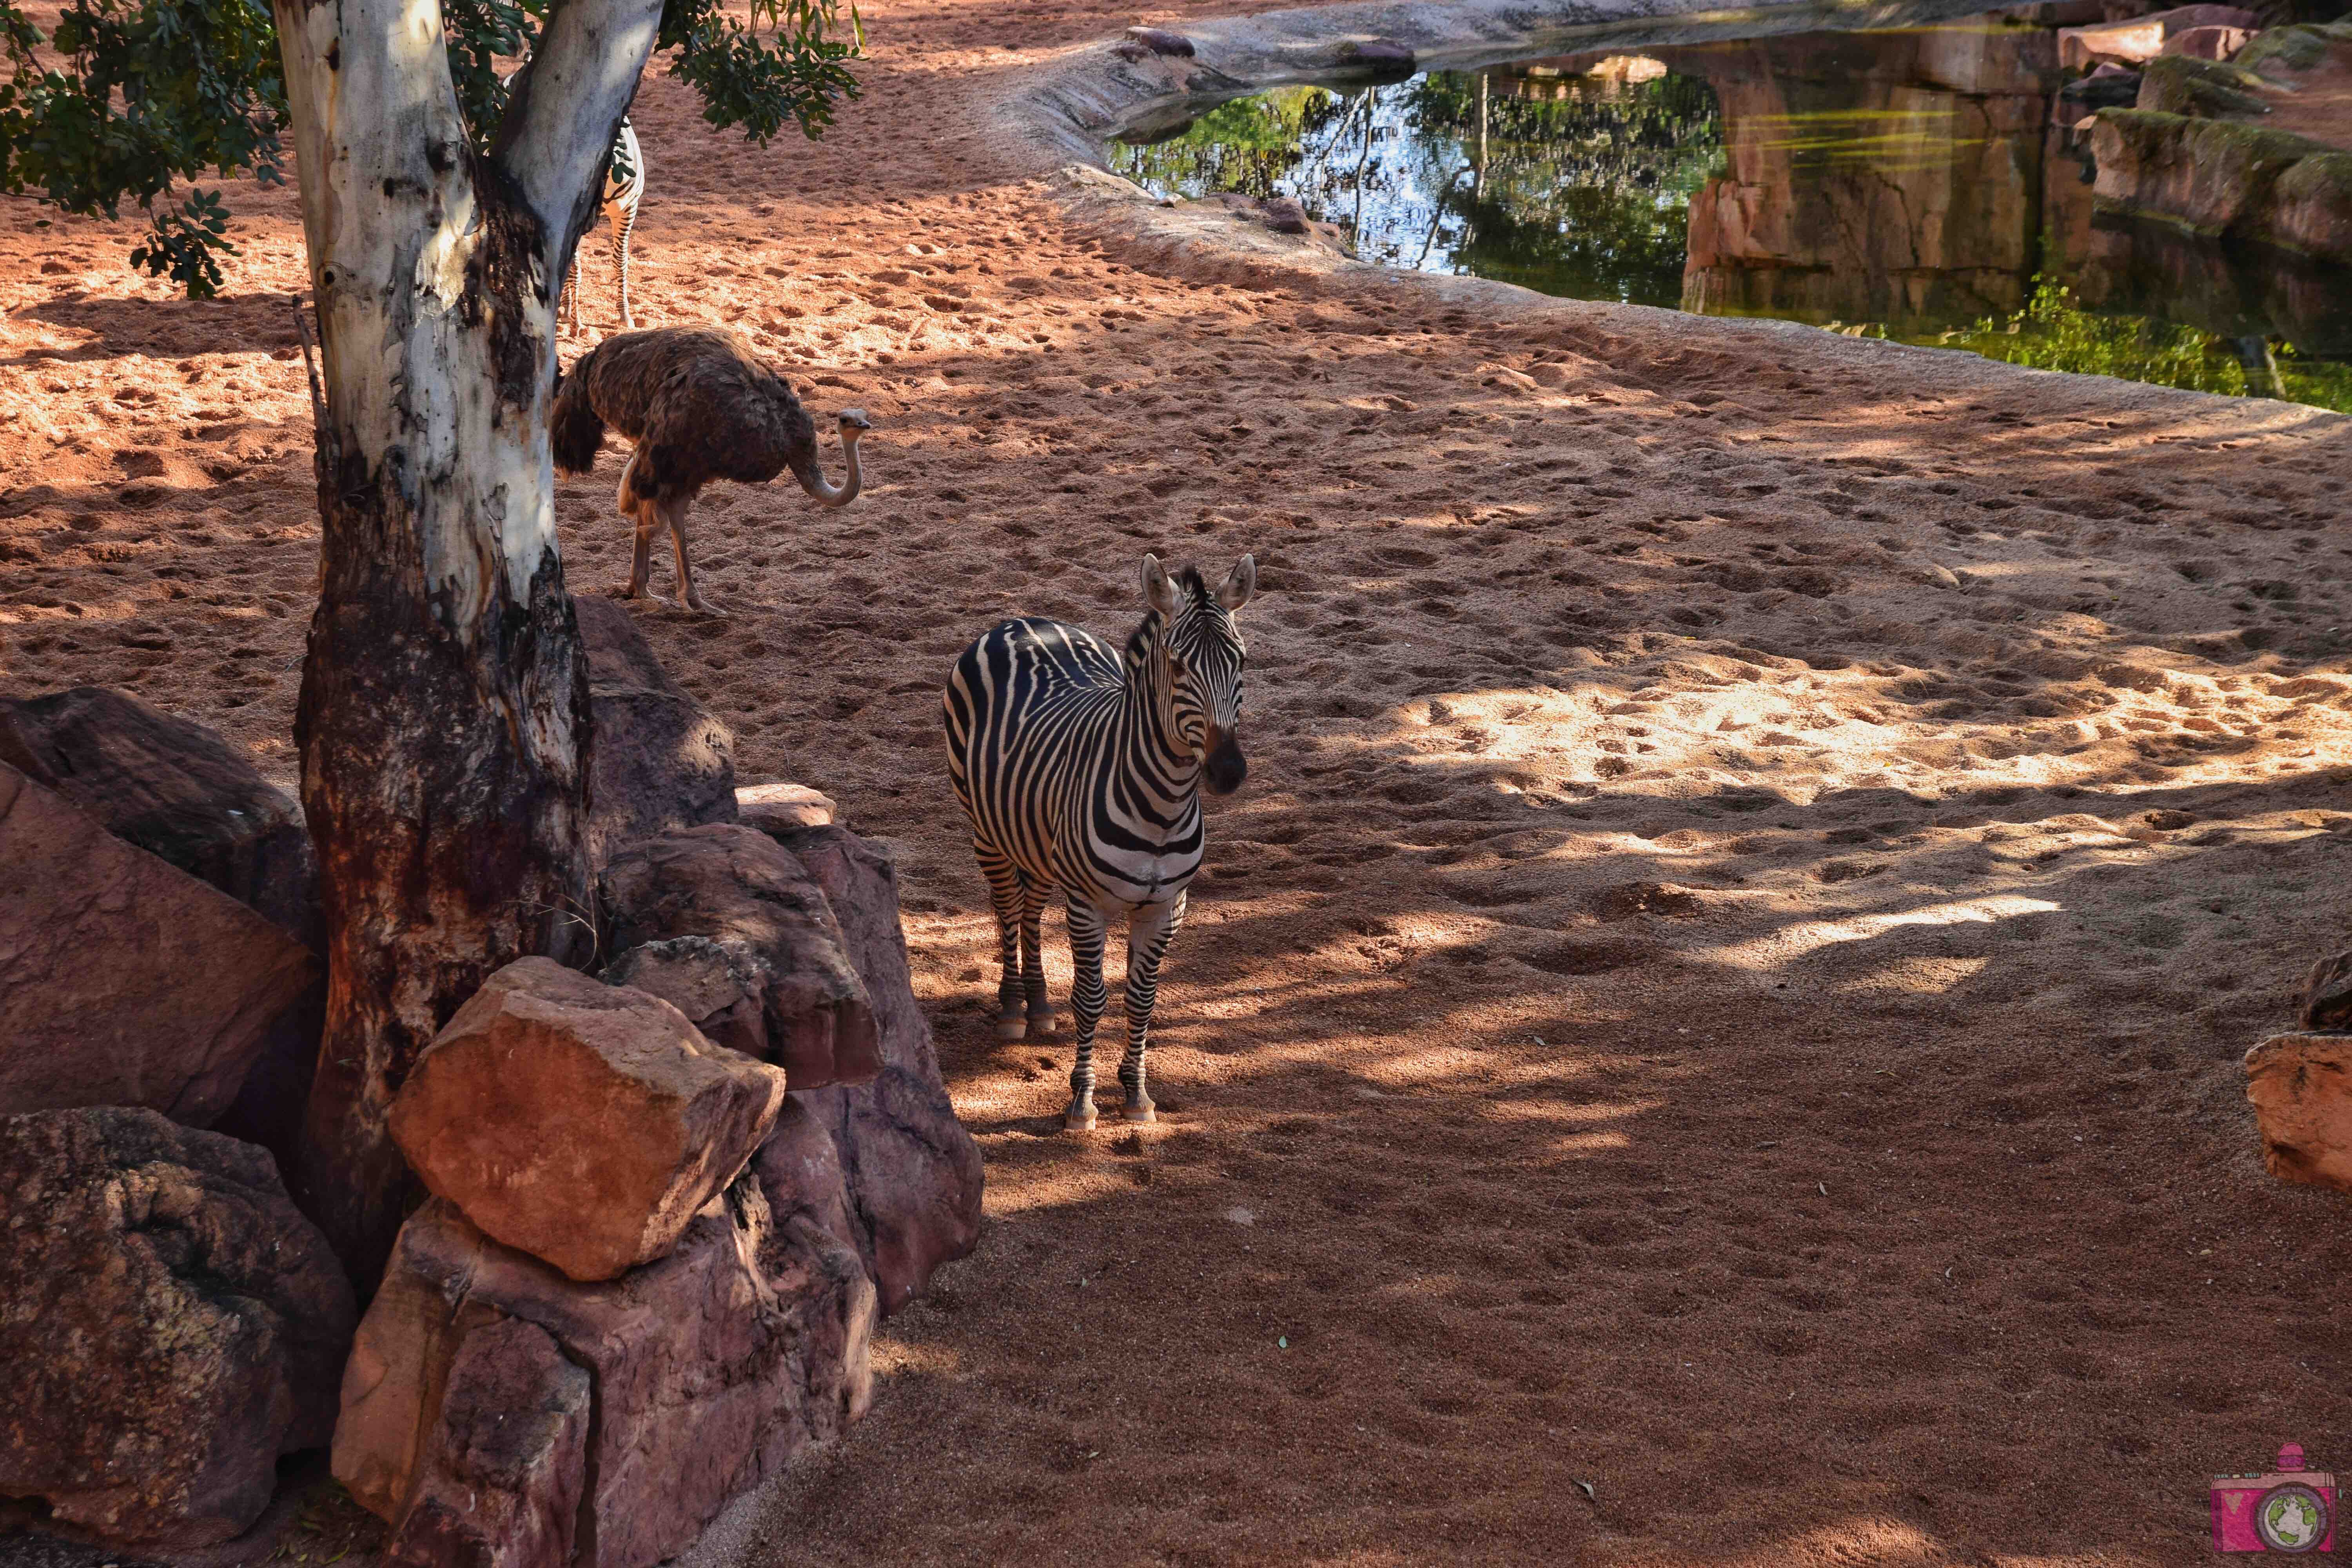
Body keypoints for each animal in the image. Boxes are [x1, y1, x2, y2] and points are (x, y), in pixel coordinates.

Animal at [946, 552, 1261, 1128]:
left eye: (1241, 661)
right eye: (1178, 666)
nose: (1228, 771)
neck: (1162, 807)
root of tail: (1022, 620)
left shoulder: (1167, 906)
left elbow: (1142, 1000)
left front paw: (1136, 1093)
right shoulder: (1087, 903)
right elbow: (1091, 999)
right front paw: (1082, 1101)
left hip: (1038, 839)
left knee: (1030, 907)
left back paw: (1038, 1003)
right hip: (988, 832)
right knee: (1008, 906)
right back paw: (1013, 1006)